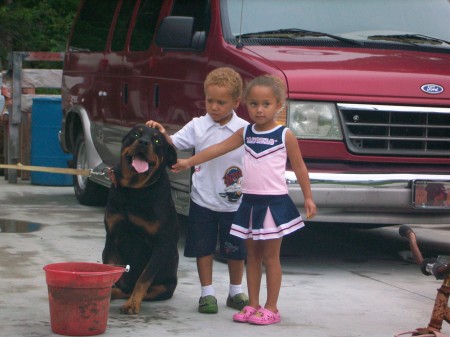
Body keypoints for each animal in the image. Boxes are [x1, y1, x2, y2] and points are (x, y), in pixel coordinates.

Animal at [102, 124, 179, 316]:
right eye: (136, 134)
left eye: (157, 140)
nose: (143, 142)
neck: (134, 190)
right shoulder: (112, 238)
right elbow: (108, 270)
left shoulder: (161, 243)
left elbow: (144, 278)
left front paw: (132, 305)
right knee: (121, 287)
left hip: (164, 288)